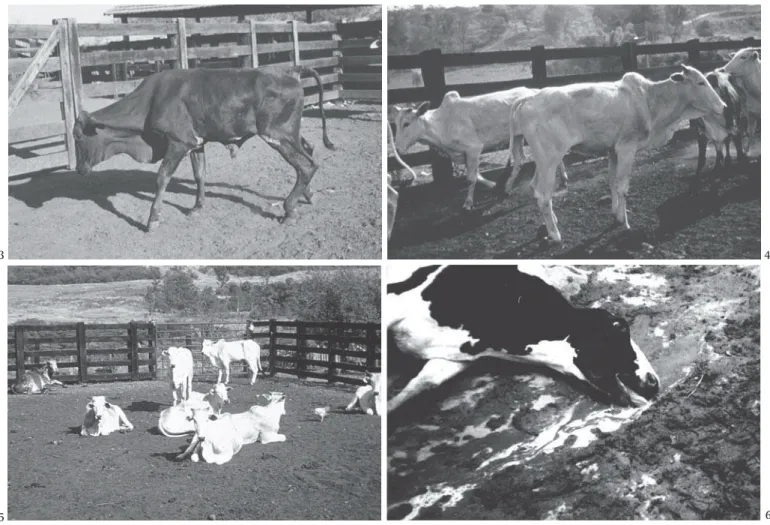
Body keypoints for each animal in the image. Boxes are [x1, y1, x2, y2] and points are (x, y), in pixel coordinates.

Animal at [390, 87, 564, 210]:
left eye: (406, 123)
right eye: (395, 124)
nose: (397, 148)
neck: (443, 123)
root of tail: (535, 91)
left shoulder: (473, 148)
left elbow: (471, 178)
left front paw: (468, 203)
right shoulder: (465, 154)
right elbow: (476, 175)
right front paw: (492, 185)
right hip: (517, 137)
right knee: (523, 159)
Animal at [504, 64, 728, 243]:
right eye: (700, 82)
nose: (723, 105)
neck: (649, 100)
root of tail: (529, 98)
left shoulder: (612, 150)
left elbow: (612, 182)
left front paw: (615, 214)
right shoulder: (627, 148)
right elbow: (623, 187)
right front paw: (625, 222)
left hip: (542, 161)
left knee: (535, 188)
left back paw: (551, 223)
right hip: (550, 158)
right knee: (543, 195)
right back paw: (555, 234)